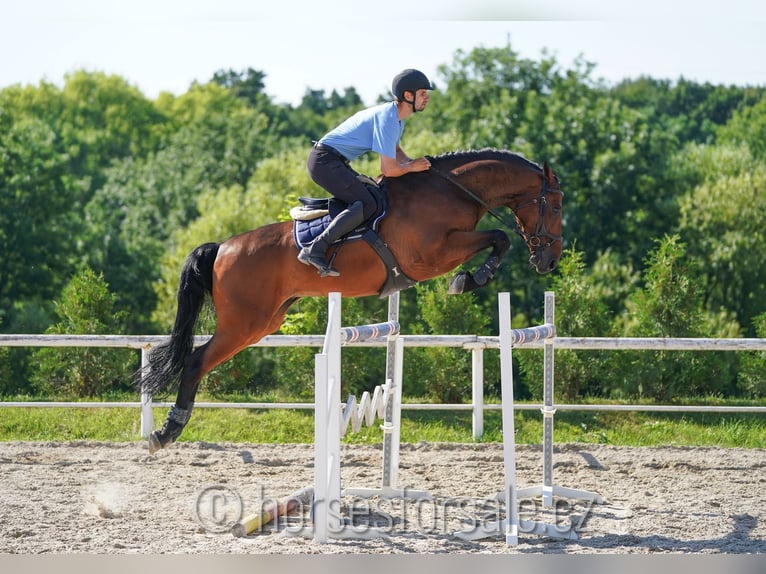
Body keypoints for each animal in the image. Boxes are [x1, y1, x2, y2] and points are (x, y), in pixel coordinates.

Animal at [138, 147, 564, 454]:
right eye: (556, 207)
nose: (550, 261)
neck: (451, 191)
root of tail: (222, 247)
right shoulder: (431, 256)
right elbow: (498, 237)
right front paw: (470, 279)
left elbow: (498, 238)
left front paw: (473, 278)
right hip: (243, 324)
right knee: (196, 361)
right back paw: (168, 430)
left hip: (263, 323)